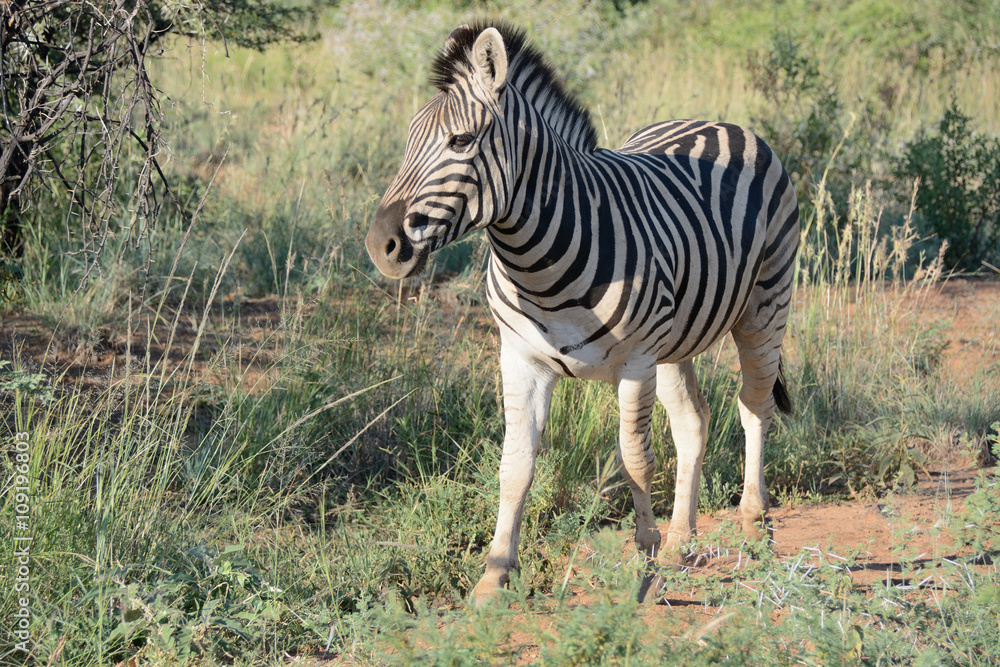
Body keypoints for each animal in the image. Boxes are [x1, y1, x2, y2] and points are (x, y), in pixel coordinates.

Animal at [365, 21, 799, 605]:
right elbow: (515, 464)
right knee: (693, 421)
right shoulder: (520, 358)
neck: (538, 266)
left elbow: (636, 461)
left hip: (764, 306)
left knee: (754, 407)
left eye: (460, 141)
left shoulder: (635, 362)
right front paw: (494, 576)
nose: (379, 246)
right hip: (676, 339)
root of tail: (715, 121)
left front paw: (642, 572)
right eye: (408, 143)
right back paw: (680, 544)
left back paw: (754, 528)